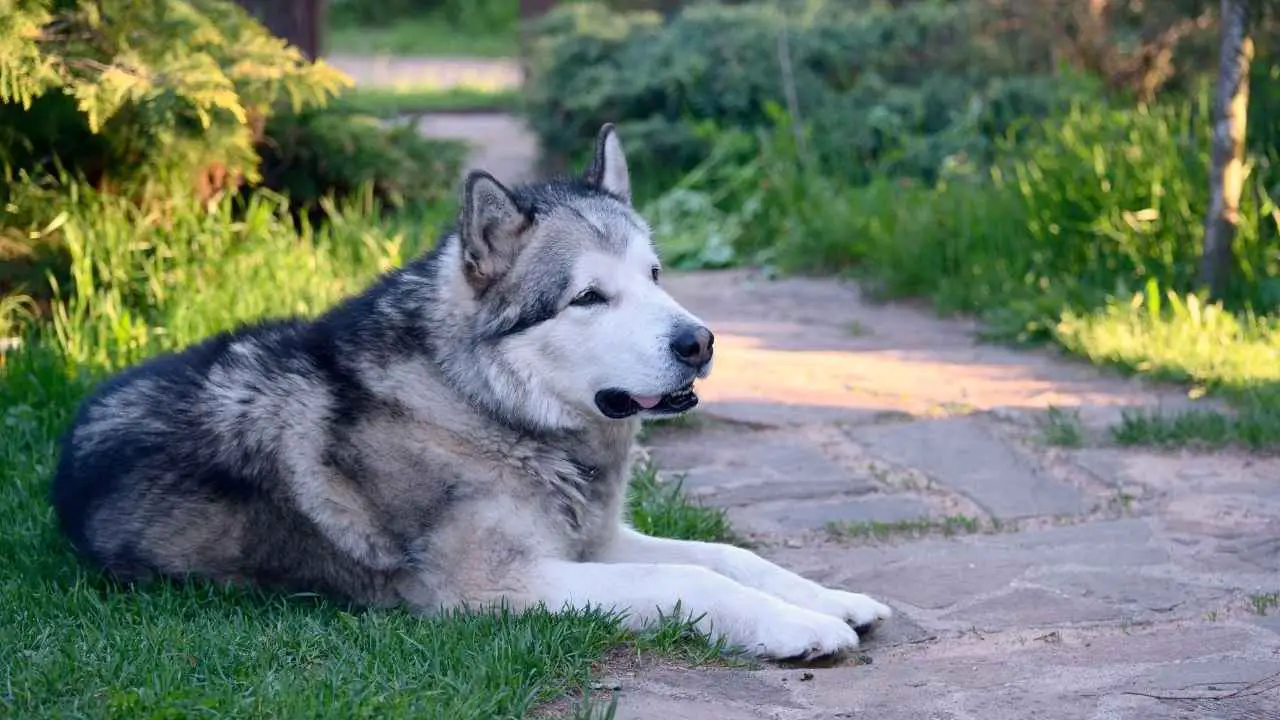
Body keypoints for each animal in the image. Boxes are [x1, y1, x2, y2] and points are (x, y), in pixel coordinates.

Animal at [49, 122, 890, 655]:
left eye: (655, 276)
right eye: (589, 297)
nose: (700, 342)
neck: (484, 409)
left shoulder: (595, 541)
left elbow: (726, 554)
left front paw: (829, 599)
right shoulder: (496, 588)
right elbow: (689, 575)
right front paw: (796, 628)